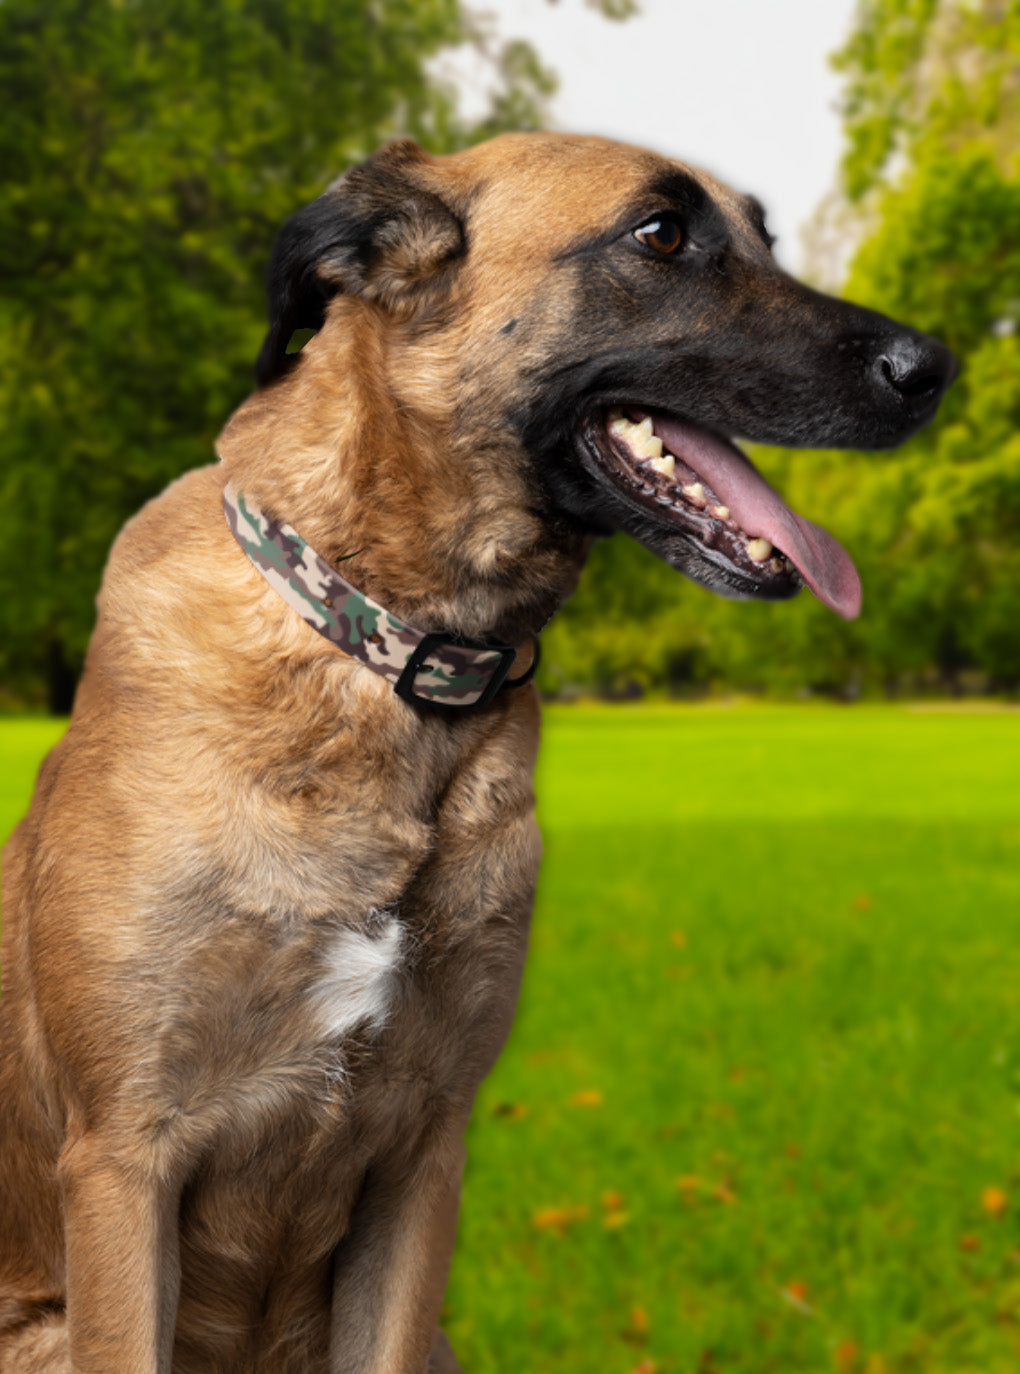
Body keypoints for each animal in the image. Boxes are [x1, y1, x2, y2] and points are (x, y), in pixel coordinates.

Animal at [0, 131, 956, 1374]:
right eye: (661, 234)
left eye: (765, 236)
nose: (935, 365)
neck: (392, 667)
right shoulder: (123, 1160)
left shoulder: (423, 1156)